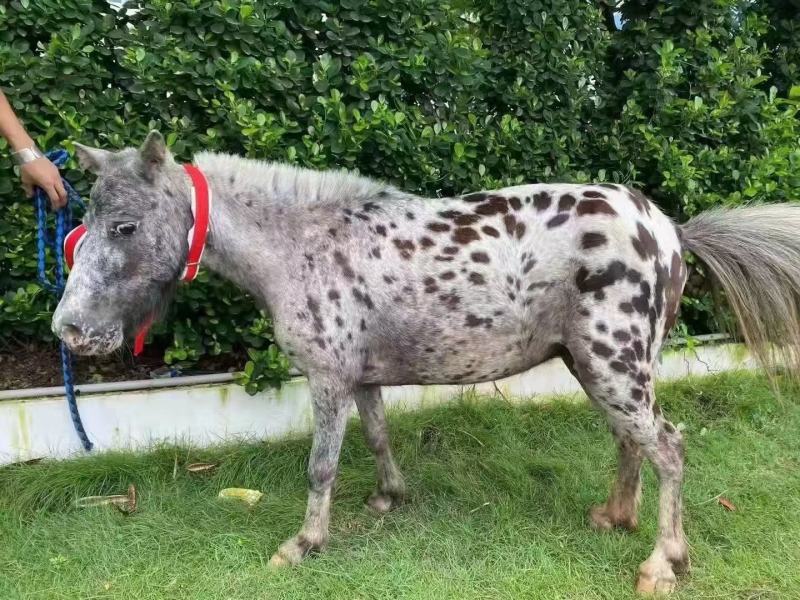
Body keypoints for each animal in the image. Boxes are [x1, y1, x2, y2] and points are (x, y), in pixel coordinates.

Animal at [53, 131, 800, 594]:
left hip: (615, 366)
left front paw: (304, 544)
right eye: (86, 221)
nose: (71, 330)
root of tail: (669, 231)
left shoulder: (327, 379)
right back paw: (615, 517)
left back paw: (662, 563)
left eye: (124, 226)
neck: (300, 245)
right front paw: (390, 497)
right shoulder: (362, 378)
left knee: (668, 448)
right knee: (632, 441)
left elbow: (320, 466)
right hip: (601, 368)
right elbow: (379, 435)